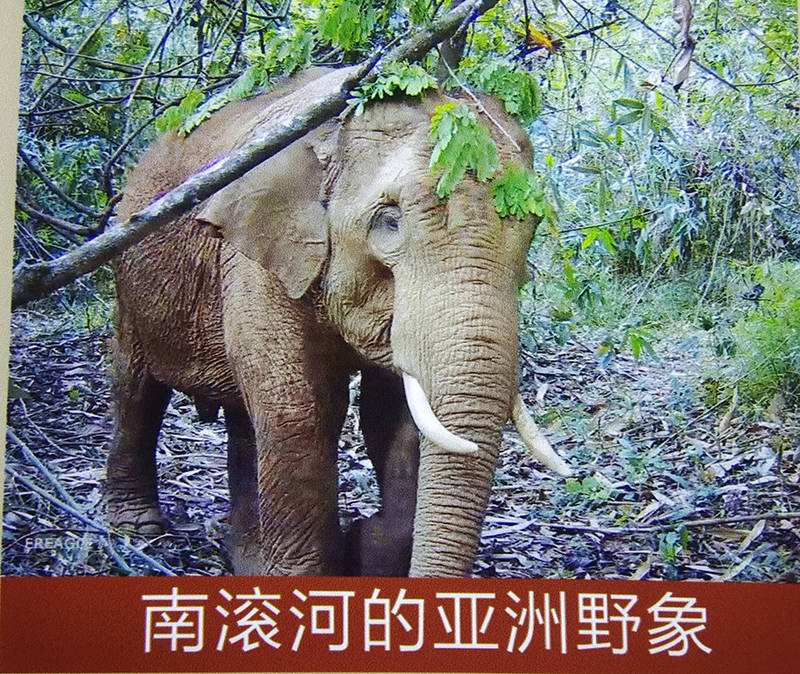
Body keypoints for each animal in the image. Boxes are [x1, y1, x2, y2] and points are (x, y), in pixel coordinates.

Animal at [106, 67, 569, 577]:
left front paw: (365, 545)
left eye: (532, 230)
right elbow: (297, 411)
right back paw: (138, 527)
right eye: (389, 221)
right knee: (134, 384)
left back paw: (247, 558)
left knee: (243, 419)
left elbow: (392, 418)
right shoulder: (257, 260)